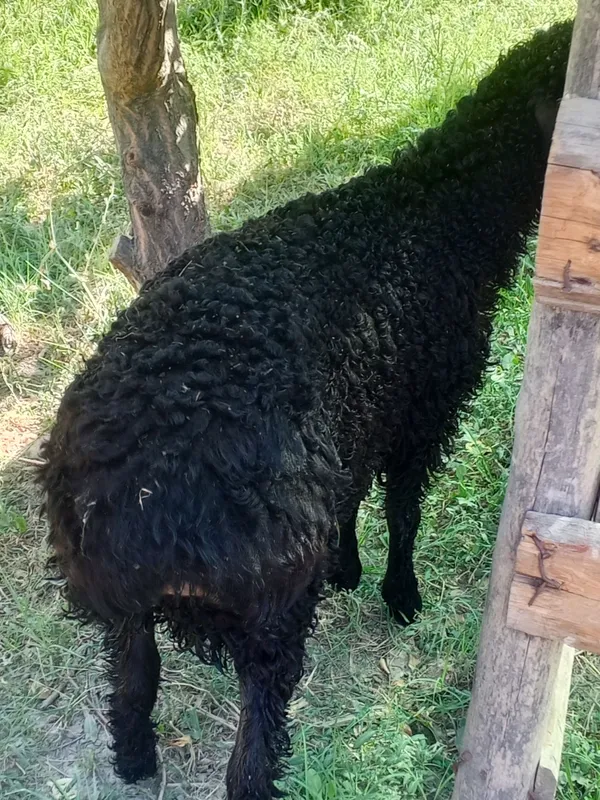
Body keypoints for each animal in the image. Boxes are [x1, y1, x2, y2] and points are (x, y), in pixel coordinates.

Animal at [40, 21, 571, 800]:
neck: (437, 213)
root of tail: (138, 505)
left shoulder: (358, 413)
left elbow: (351, 497)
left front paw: (349, 566)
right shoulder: (422, 412)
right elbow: (403, 510)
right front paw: (400, 593)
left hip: (122, 611)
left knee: (132, 687)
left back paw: (137, 765)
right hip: (270, 605)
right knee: (252, 758)